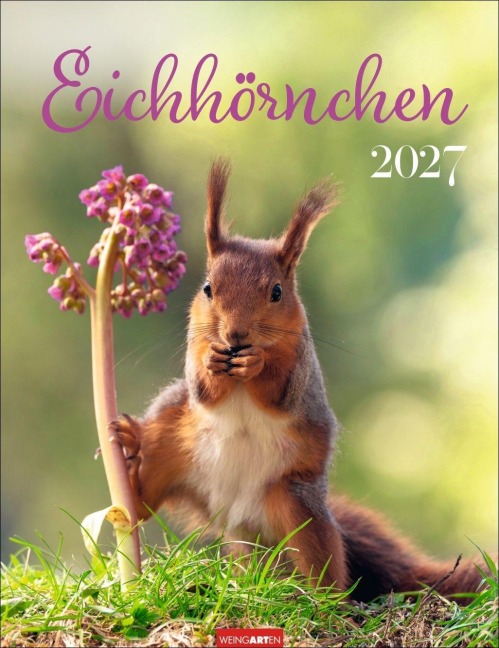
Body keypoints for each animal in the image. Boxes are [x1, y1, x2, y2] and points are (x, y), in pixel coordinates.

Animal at [113, 159, 492, 601]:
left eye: (277, 292)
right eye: (208, 288)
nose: (235, 335)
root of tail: (235, 513)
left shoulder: (301, 365)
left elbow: (280, 392)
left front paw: (257, 363)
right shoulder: (195, 350)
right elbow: (202, 389)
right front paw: (212, 361)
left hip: (296, 505)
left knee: (325, 562)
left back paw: (320, 600)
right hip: (169, 447)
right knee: (145, 500)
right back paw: (129, 455)